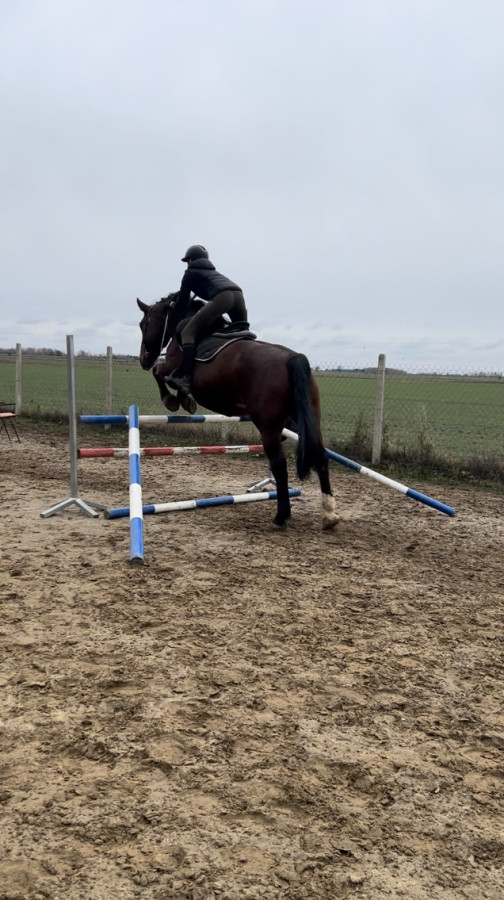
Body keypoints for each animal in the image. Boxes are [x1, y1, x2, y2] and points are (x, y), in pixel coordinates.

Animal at [136, 294, 339, 530]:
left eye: (144, 323)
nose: (143, 359)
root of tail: (293, 358)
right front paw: (184, 400)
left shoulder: (170, 366)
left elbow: (159, 374)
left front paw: (173, 400)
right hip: (305, 420)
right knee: (320, 455)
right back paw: (329, 513)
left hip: (268, 427)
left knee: (279, 465)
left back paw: (281, 516)